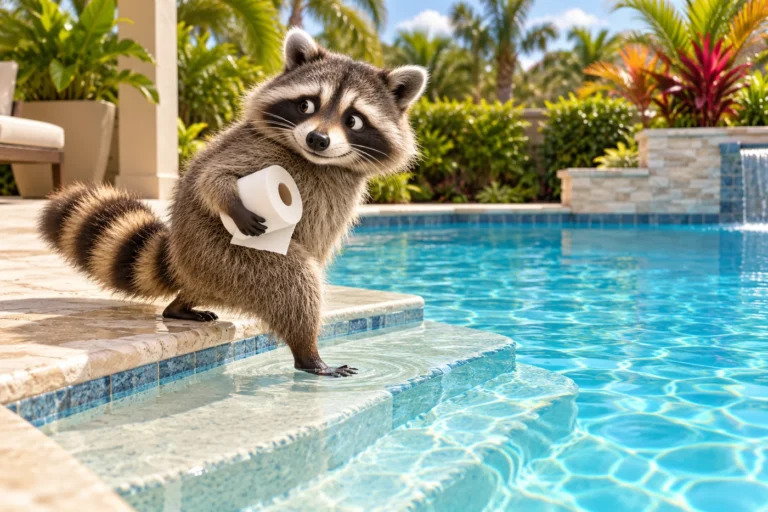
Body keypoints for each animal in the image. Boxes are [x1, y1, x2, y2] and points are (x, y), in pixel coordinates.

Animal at [38, 29, 428, 377]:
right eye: (306, 105)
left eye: (353, 120)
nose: (317, 139)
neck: (317, 161)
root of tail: (179, 258)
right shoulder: (256, 149)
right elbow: (212, 178)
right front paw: (230, 200)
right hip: (222, 257)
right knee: (295, 280)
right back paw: (308, 354)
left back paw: (181, 305)